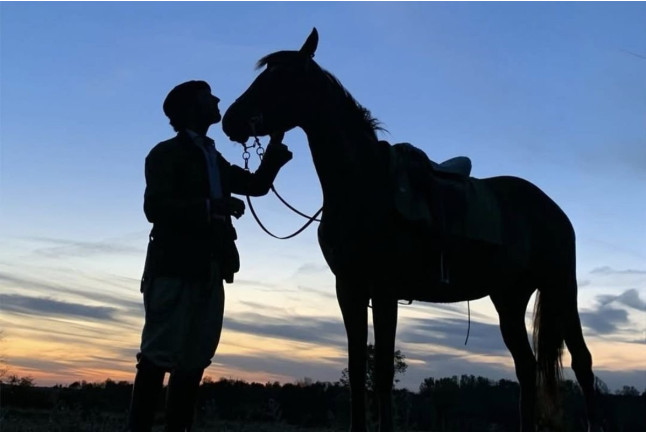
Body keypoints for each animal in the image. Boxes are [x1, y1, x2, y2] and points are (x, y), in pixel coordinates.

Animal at [222, 28, 600, 432]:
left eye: (280, 78)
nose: (230, 120)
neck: (363, 185)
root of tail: (552, 208)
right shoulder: (349, 289)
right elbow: (357, 367)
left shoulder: (384, 290)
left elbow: (383, 372)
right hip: (509, 299)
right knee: (527, 368)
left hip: (560, 287)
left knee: (582, 361)